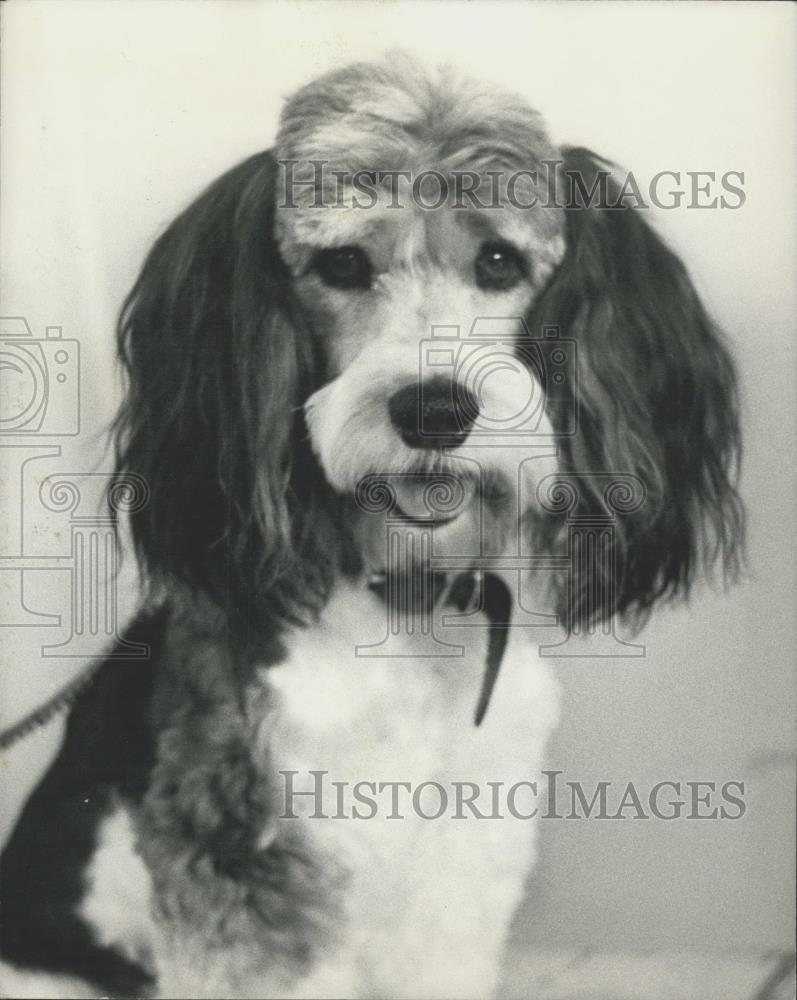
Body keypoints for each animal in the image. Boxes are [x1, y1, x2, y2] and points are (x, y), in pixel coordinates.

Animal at [0, 54, 740, 1000]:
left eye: (498, 259)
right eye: (343, 263)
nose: (435, 410)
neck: (403, 608)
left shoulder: (462, 853)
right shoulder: (244, 855)